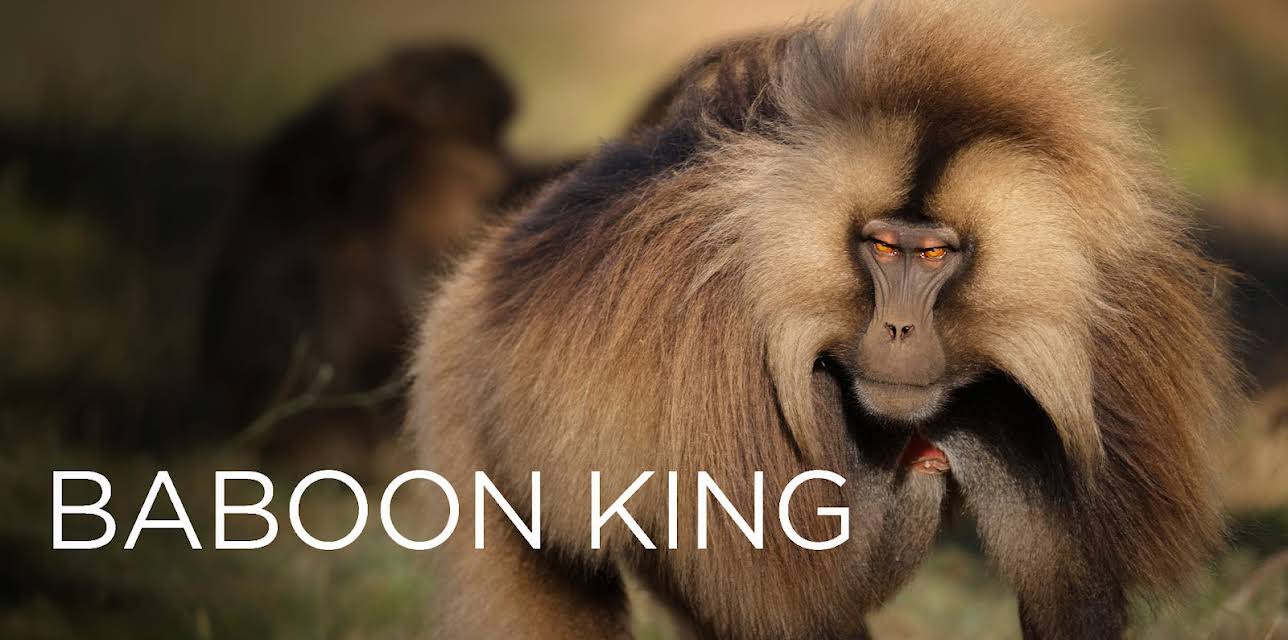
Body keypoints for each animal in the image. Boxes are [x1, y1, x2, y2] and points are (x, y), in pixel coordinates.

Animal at [406, 1, 1243, 638]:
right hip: (467, 400)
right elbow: (791, 605)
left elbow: (1070, 598)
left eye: (934, 254)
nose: (900, 332)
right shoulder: (727, 397)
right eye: (882, 247)